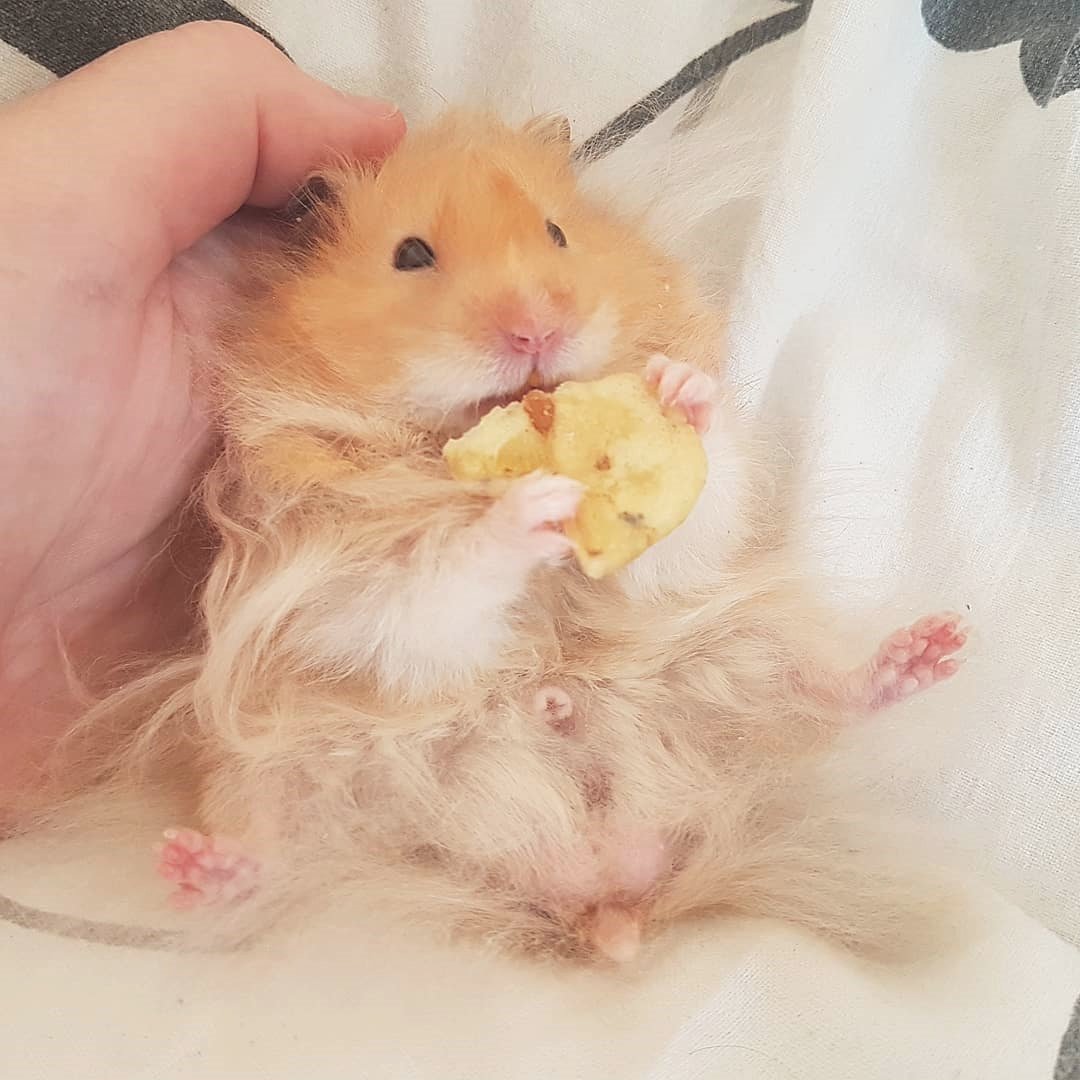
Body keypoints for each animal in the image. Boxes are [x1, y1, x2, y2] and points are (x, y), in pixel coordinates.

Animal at [54, 110, 967, 962]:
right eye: (411, 255)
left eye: (558, 233)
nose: (537, 330)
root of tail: (606, 894)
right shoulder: (348, 576)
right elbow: (440, 581)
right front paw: (526, 506)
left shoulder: (675, 555)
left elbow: (695, 514)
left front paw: (678, 392)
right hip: (280, 767)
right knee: (274, 854)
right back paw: (195, 868)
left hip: (751, 643)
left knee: (829, 695)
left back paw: (934, 649)